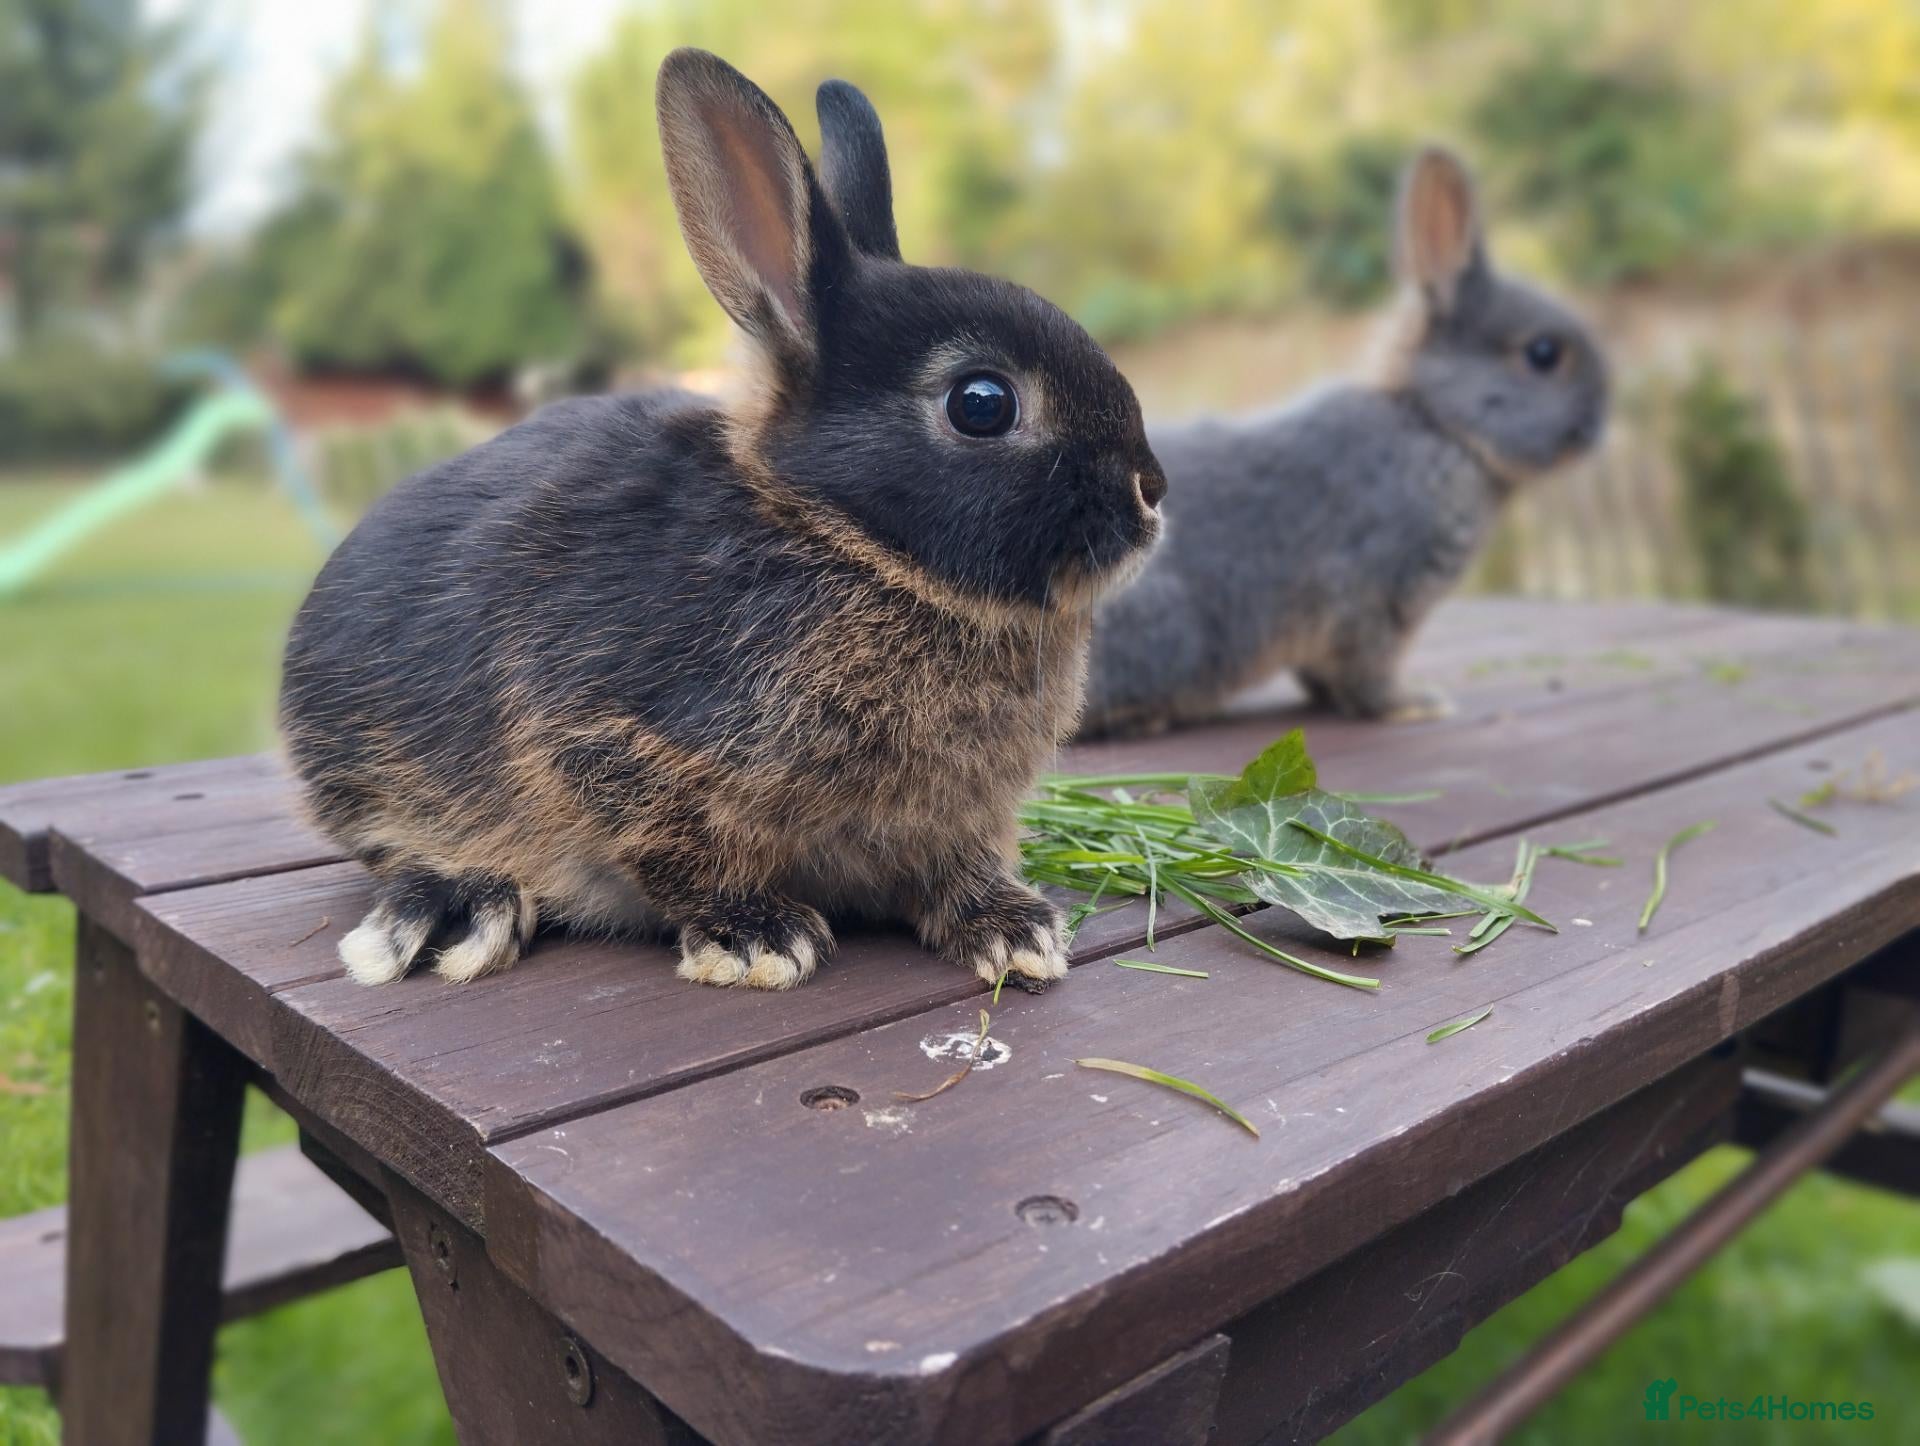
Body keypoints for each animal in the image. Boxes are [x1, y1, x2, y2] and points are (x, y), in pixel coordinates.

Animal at [280, 50, 1166, 992]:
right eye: (983, 403)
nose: (1151, 489)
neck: (849, 539)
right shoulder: (620, 746)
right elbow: (683, 855)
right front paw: (756, 939)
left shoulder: (954, 819)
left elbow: (955, 868)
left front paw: (1014, 930)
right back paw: (468, 903)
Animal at [1079, 146, 1607, 737]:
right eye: (1543, 354)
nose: (1599, 422)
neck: (1434, 423)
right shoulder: (1372, 598)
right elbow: (1368, 669)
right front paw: (1412, 704)